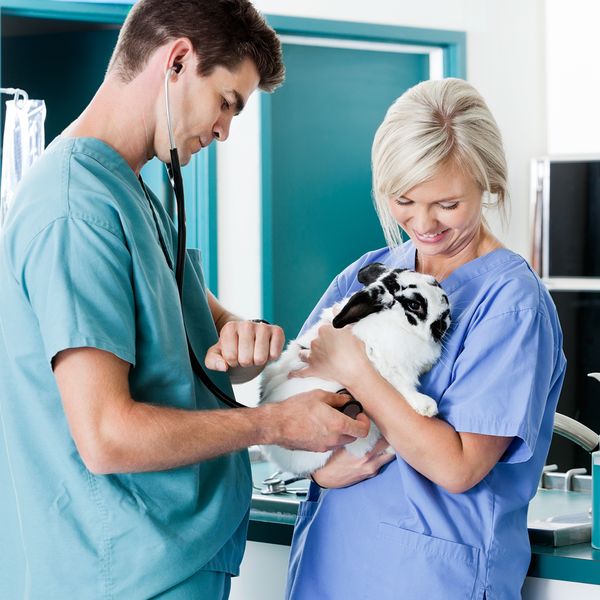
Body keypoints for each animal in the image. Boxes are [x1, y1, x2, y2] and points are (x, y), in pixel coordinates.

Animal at [258, 262, 450, 474]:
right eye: (414, 305)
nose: (444, 299)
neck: (395, 323)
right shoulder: (389, 366)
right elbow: (403, 387)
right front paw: (427, 407)